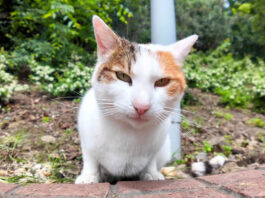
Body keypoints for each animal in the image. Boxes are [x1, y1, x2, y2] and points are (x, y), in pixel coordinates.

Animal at [75, 15, 197, 184]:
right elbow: (90, 158)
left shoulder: (158, 144)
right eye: (122, 76)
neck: (130, 134)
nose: (141, 106)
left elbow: (151, 160)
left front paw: (151, 174)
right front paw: (89, 176)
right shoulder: (85, 133)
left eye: (162, 82)